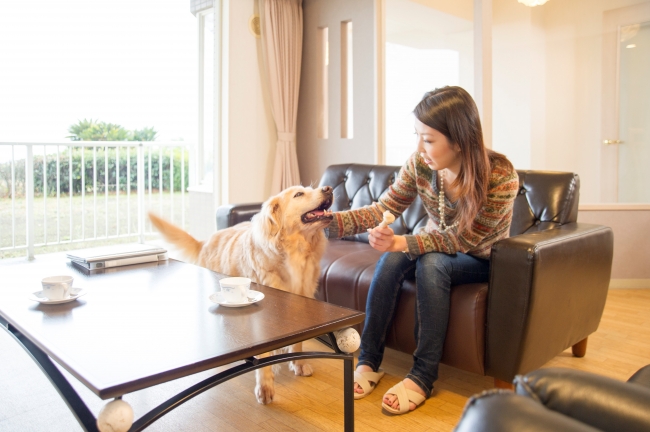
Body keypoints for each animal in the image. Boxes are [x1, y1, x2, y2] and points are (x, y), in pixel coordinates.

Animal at [147, 185, 334, 404]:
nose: (328, 188)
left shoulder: (302, 301)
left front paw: (298, 363)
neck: (294, 252)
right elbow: (264, 353)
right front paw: (265, 386)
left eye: (310, 189)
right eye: (298, 194)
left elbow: (299, 341)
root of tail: (206, 240)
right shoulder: (265, 316)